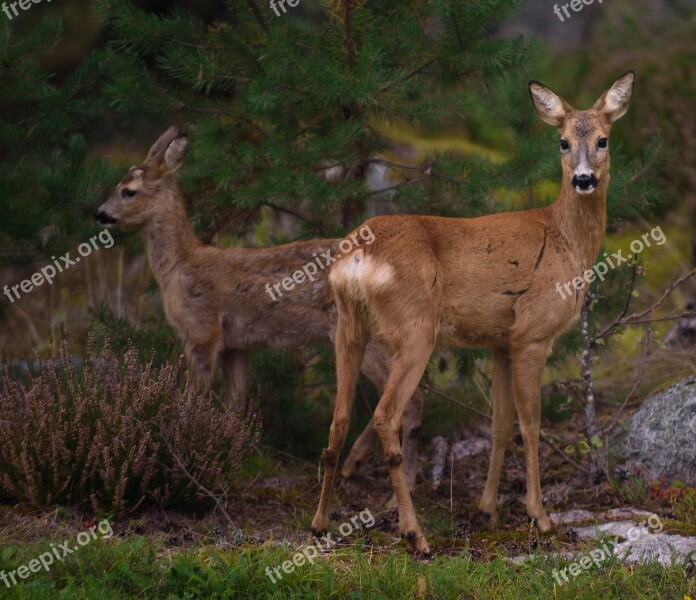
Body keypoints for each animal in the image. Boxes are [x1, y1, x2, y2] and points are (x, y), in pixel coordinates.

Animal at [94, 125, 424, 492]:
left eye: (128, 191)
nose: (100, 214)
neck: (180, 267)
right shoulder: (237, 345)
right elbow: (233, 405)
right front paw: (228, 455)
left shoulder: (202, 331)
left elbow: (193, 398)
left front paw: (184, 445)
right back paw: (356, 465)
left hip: (357, 331)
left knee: (408, 403)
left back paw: (396, 481)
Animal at [314, 72, 636, 556]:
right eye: (562, 141)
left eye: (603, 139)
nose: (583, 179)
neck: (567, 243)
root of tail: (354, 259)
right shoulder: (533, 333)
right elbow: (531, 424)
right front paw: (540, 517)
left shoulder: (501, 340)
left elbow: (500, 424)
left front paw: (487, 511)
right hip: (415, 328)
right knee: (387, 415)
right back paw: (416, 535)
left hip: (348, 327)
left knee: (337, 420)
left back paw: (319, 524)